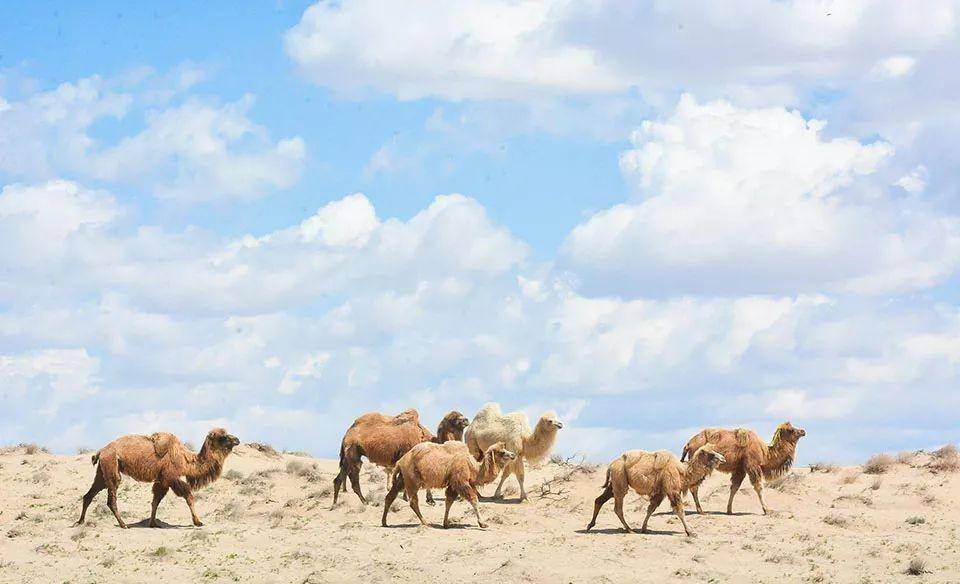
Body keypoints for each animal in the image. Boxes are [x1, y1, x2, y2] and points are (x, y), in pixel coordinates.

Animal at [75, 424, 240, 528]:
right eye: (223, 437)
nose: (237, 439)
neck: (185, 459)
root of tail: (101, 451)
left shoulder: (162, 480)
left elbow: (156, 501)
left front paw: (153, 523)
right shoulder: (171, 476)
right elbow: (188, 496)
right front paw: (198, 522)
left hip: (103, 471)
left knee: (89, 494)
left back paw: (80, 521)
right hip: (112, 467)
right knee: (111, 499)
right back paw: (123, 525)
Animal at [334, 408, 472, 504]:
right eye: (454, 419)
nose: (466, 420)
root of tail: (347, 433)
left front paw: (426, 500)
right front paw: (419, 499)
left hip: (349, 455)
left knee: (339, 478)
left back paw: (336, 504)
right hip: (353, 451)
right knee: (353, 477)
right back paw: (362, 501)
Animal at [382, 438, 516, 528]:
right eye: (502, 452)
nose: (513, 454)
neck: (473, 468)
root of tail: (400, 461)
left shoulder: (453, 484)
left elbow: (449, 501)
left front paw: (446, 523)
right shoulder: (461, 482)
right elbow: (473, 500)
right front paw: (482, 523)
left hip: (402, 478)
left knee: (390, 496)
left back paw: (384, 522)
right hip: (412, 480)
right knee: (413, 501)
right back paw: (425, 522)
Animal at [584, 444, 728, 536]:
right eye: (711, 454)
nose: (723, 458)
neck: (683, 472)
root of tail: (611, 465)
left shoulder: (661, 492)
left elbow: (651, 509)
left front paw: (644, 528)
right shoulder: (672, 490)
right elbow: (680, 511)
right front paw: (690, 532)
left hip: (614, 483)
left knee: (599, 500)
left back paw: (590, 526)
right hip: (620, 481)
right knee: (617, 508)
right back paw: (629, 530)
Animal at [680, 420, 808, 516]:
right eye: (791, 430)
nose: (803, 431)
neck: (765, 453)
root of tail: (688, 444)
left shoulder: (740, 469)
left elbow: (734, 488)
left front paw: (729, 510)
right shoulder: (752, 465)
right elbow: (758, 487)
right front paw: (767, 510)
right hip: (701, 463)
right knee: (694, 487)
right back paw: (700, 511)